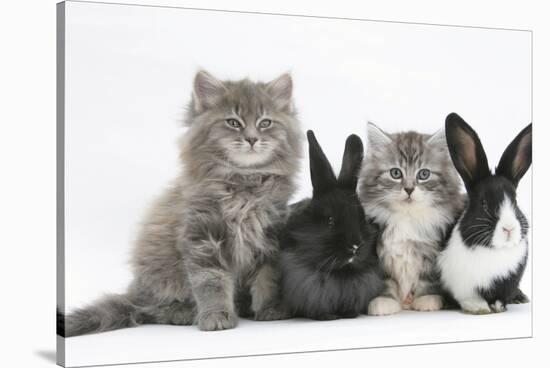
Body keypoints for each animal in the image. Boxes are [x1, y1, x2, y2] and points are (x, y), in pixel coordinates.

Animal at [62, 70, 304, 334]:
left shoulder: (269, 236)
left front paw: (271, 309)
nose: (251, 139)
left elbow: (267, 278)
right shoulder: (203, 236)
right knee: (149, 309)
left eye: (265, 123)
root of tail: (135, 291)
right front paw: (216, 316)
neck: (243, 183)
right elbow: (211, 281)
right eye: (233, 122)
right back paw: (183, 313)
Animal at [278, 130, 386, 320]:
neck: (339, 273)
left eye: (362, 218)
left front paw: (350, 314)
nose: (355, 246)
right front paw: (326, 317)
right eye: (330, 220)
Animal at [362, 122, 466, 314]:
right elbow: (384, 280)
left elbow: (428, 277)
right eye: (396, 173)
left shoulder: (433, 250)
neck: (407, 218)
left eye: (423, 174)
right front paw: (384, 301)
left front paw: (427, 299)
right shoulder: (378, 253)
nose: (409, 189)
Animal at [438, 112, 532, 314]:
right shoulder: (461, 285)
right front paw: (479, 307)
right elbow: (469, 298)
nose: (509, 229)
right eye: (483, 204)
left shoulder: (507, 283)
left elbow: (501, 297)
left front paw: (499, 306)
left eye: (515, 201)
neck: (492, 251)